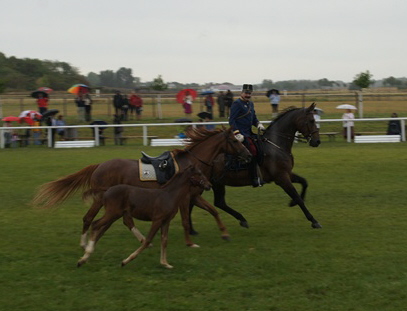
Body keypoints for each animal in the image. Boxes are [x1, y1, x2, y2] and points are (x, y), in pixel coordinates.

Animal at [33, 127, 252, 249]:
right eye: (235, 140)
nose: (248, 155)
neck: (193, 163)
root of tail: (99, 165)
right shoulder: (185, 198)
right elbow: (187, 219)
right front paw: (192, 240)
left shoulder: (194, 197)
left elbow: (214, 210)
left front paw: (224, 233)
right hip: (102, 199)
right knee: (89, 218)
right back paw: (85, 243)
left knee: (124, 220)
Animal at [77, 166, 212, 270]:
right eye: (199, 174)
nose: (209, 185)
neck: (169, 195)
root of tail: (108, 189)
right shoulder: (157, 220)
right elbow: (148, 240)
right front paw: (125, 261)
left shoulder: (166, 221)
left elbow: (164, 240)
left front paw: (165, 264)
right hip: (112, 213)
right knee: (95, 224)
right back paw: (84, 256)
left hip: (115, 215)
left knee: (101, 227)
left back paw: (84, 256)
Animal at [190, 103, 324, 233]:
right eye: (311, 120)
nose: (317, 141)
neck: (275, 146)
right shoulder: (281, 178)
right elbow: (297, 196)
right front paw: (313, 221)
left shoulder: (287, 173)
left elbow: (304, 182)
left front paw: (293, 203)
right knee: (194, 201)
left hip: (217, 183)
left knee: (217, 202)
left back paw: (240, 220)